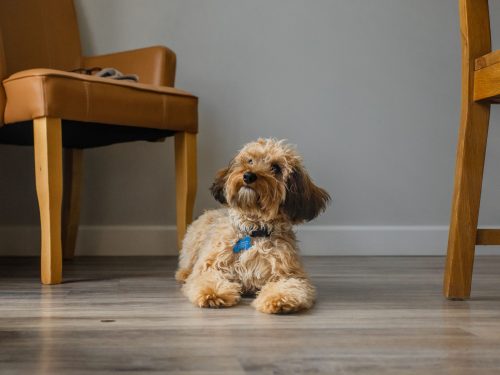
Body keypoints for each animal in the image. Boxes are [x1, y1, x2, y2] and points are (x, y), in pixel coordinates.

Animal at [174, 139, 330, 314]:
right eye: (249, 161)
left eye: (276, 168)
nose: (248, 175)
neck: (254, 230)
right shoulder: (210, 266)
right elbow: (207, 278)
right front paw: (213, 293)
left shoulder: (292, 275)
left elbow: (290, 286)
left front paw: (279, 299)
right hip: (193, 242)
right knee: (187, 263)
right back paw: (184, 273)